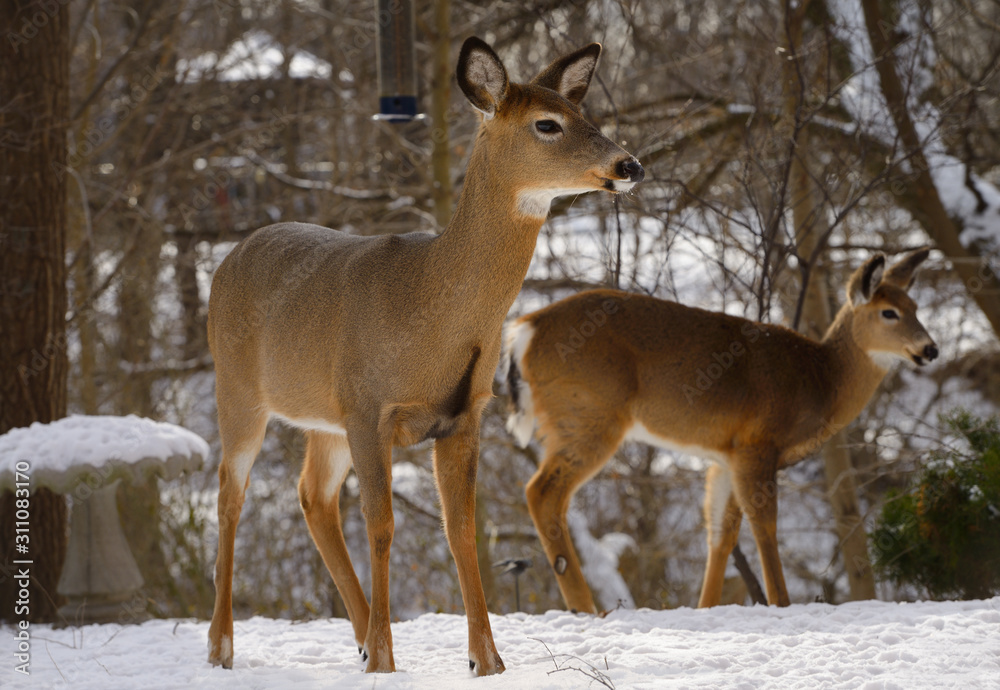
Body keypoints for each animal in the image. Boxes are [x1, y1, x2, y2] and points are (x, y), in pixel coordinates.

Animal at [205, 33, 640, 672]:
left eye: (587, 116)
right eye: (548, 123)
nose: (630, 165)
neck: (432, 317)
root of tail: (230, 257)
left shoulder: (464, 414)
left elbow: (460, 528)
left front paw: (486, 661)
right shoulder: (370, 408)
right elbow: (383, 525)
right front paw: (387, 661)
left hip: (325, 419)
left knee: (313, 497)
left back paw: (359, 635)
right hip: (238, 390)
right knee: (231, 497)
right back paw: (223, 646)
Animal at [508, 249, 936, 612]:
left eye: (915, 307)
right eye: (888, 312)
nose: (930, 349)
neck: (821, 379)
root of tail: (524, 331)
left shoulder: (724, 456)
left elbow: (721, 532)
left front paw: (706, 607)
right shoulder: (756, 442)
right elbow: (764, 523)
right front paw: (780, 603)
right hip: (590, 414)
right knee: (541, 492)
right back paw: (585, 607)